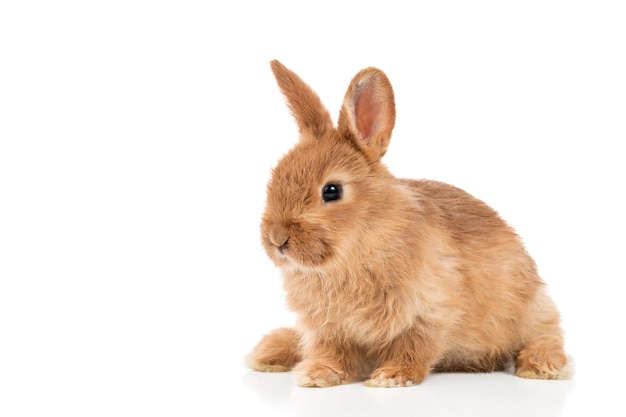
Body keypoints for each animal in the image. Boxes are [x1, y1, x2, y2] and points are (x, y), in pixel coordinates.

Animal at [247, 59, 572, 386]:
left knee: (546, 336)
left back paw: (541, 367)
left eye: (332, 190)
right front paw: (317, 374)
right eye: (275, 178)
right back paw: (268, 352)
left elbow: (414, 347)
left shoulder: (428, 312)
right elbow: (332, 352)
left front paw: (391, 377)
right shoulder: (330, 329)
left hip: (532, 309)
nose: (277, 239)